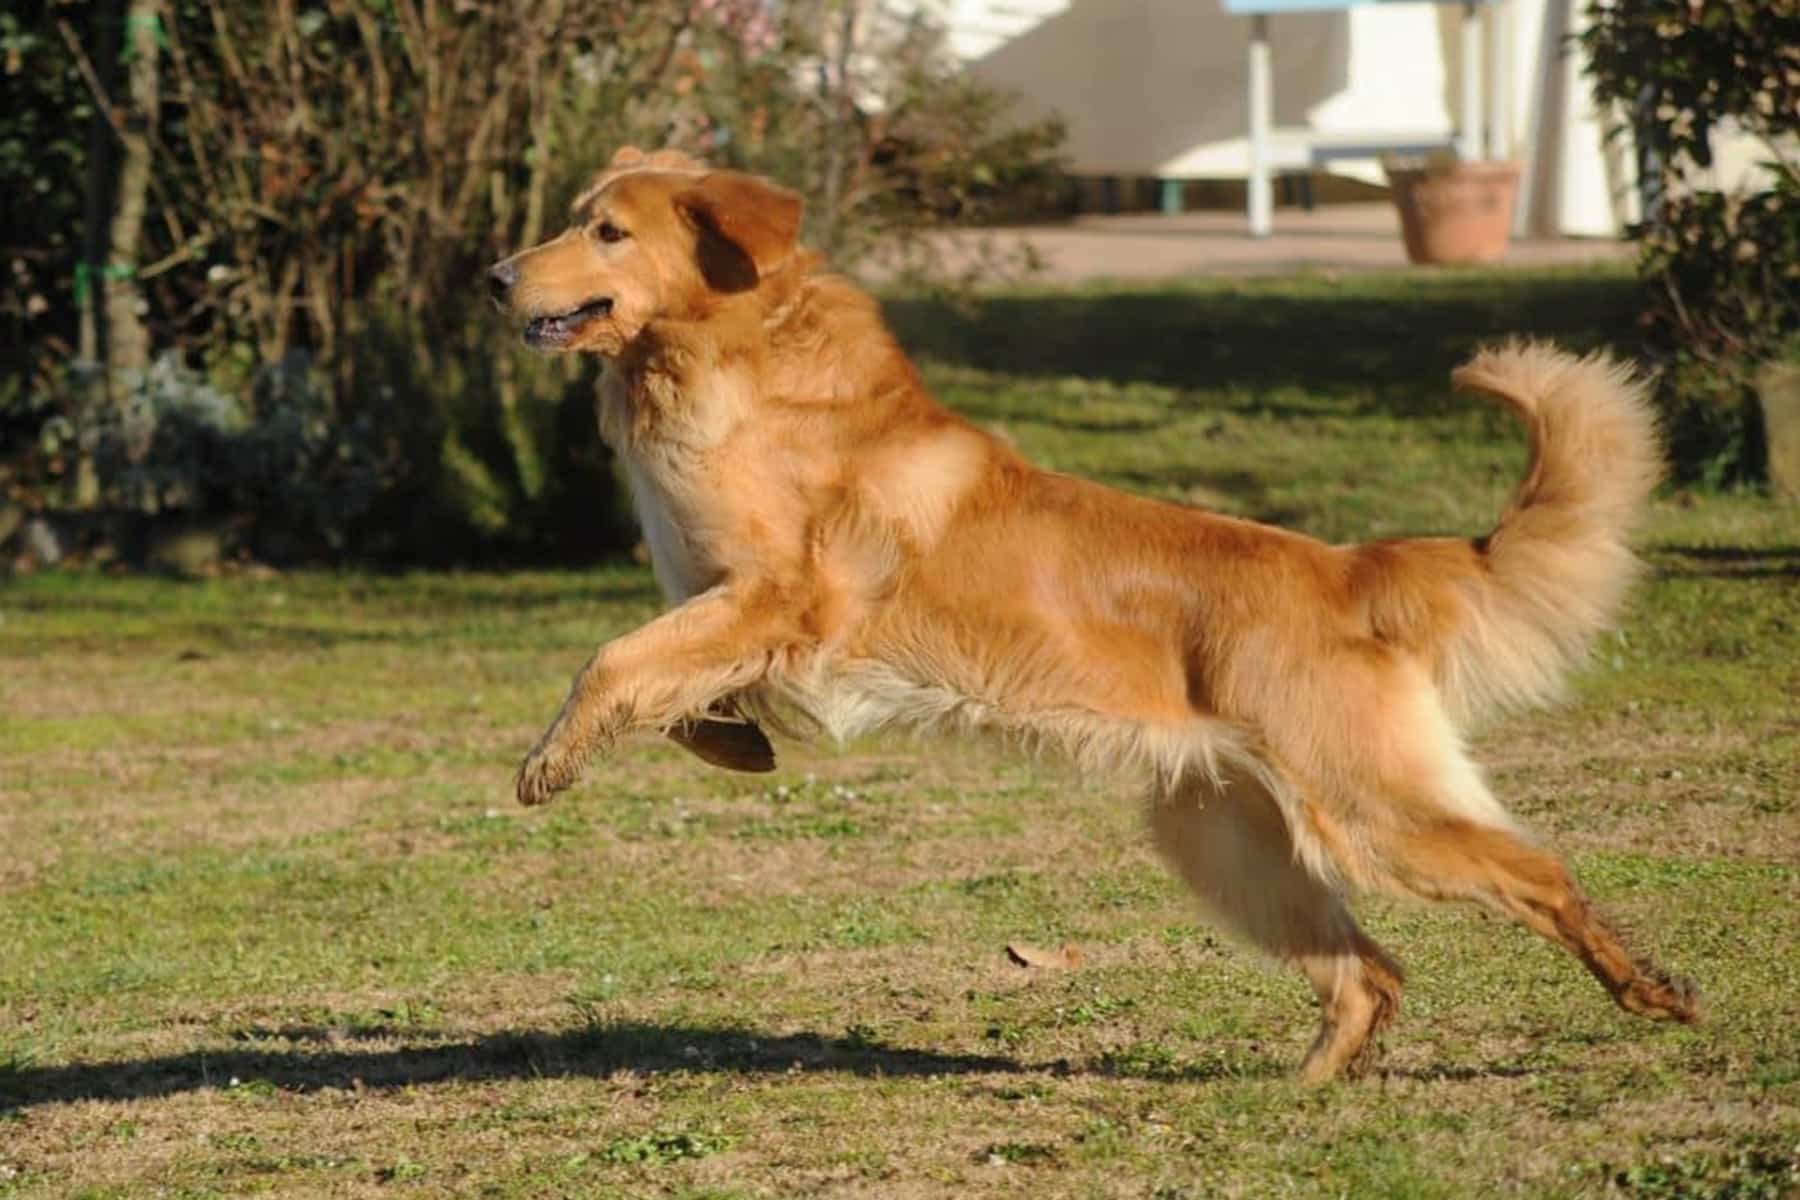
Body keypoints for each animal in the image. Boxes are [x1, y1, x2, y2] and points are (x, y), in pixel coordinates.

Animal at [489, 147, 1699, 1079]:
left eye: (604, 230)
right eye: (576, 217)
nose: (496, 278)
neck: (736, 366)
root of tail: (1342, 567)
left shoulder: (783, 597)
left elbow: (611, 659)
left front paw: (551, 759)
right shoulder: (717, 602)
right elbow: (663, 675)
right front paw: (728, 742)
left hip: (1374, 815)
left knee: (1538, 878)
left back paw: (1651, 990)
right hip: (1231, 849)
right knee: (1371, 972)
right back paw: (1308, 1084)